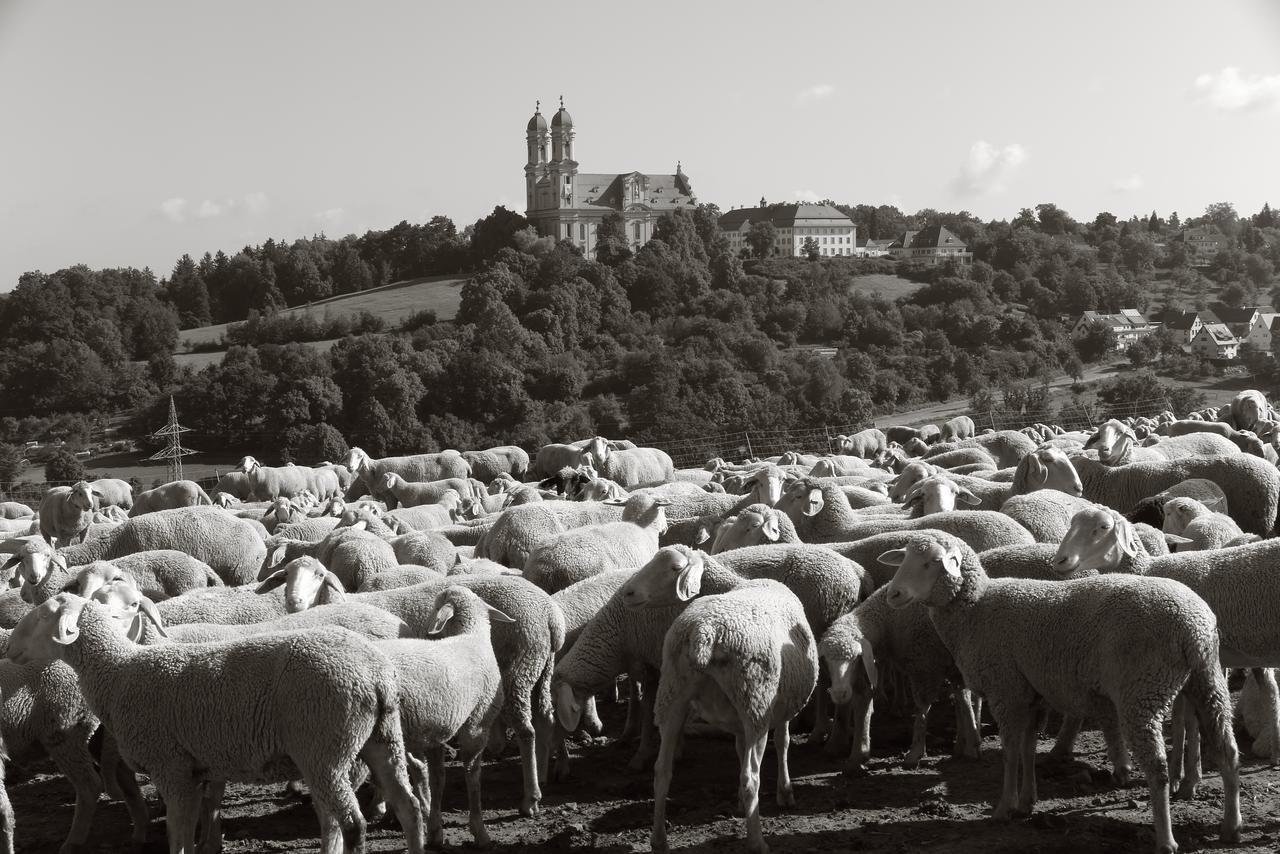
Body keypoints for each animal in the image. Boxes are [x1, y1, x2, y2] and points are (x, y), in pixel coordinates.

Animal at [257, 558, 563, 819]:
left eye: (320, 575)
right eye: (286, 574)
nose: (294, 601)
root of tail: (551, 614)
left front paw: (380, 804)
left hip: (517, 669)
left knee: (526, 730)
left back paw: (530, 799)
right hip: (540, 666)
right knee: (546, 717)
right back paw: (547, 774)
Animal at [343, 448, 473, 501]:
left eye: (360, 456)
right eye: (347, 456)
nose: (350, 467)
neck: (373, 470)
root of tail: (466, 464)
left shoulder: (390, 495)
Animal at [880, 530, 1239, 850]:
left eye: (931, 562)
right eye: (904, 558)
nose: (893, 595)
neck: (975, 610)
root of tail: (1192, 627)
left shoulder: (1005, 690)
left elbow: (1010, 752)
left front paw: (1003, 808)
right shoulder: (1031, 694)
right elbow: (1027, 749)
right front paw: (1026, 802)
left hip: (1142, 690)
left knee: (1158, 766)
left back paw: (1166, 839)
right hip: (1206, 678)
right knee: (1227, 750)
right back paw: (1230, 827)